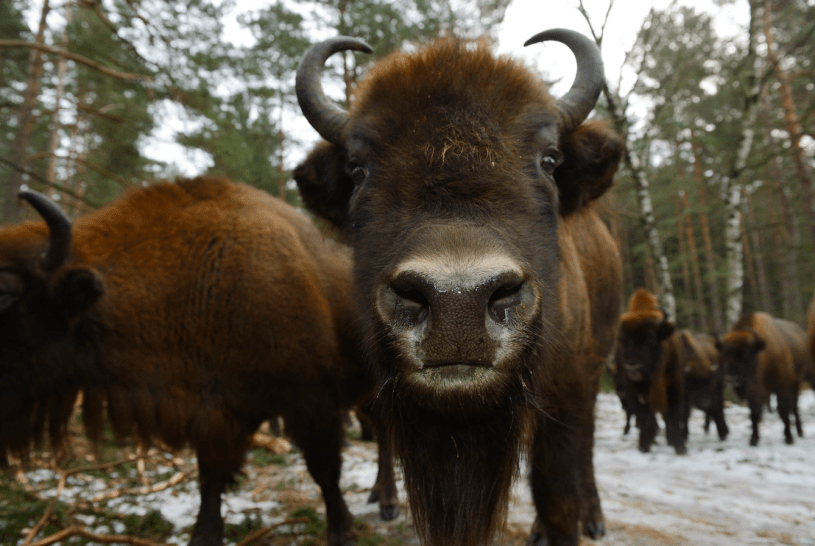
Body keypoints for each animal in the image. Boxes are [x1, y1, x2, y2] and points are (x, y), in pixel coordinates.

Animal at [0, 177, 396, 546]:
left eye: (6, 294)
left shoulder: (310, 403)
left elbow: (324, 470)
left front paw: (342, 531)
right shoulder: (211, 412)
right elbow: (210, 478)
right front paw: (203, 535)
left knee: (384, 435)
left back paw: (388, 502)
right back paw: (378, 494)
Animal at [294, 30, 624, 546]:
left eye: (549, 160)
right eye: (358, 169)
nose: (458, 306)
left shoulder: (566, 392)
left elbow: (557, 495)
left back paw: (592, 517)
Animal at [717, 312, 811, 446]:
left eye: (746, 354)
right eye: (725, 354)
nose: (731, 379)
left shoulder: (782, 386)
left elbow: (783, 410)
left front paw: (789, 438)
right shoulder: (753, 392)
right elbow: (754, 414)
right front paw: (753, 439)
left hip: (796, 382)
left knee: (794, 406)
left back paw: (799, 431)